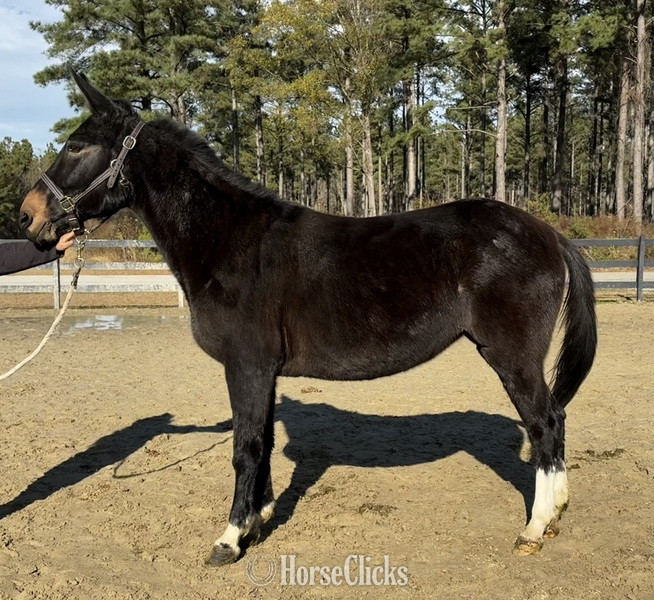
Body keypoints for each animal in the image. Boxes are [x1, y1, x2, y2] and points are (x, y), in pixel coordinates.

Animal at [19, 71, 597, 566]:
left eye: (75, 145)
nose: (28, 216)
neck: (231, 242)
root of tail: (548, 233)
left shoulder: (246, 366)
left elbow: (246, 447)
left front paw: (229, 538)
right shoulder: (263, 371)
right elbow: (264, 442)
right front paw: (258, 521)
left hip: (511, 356)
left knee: (546, 422)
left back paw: (534, 528)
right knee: (552, 424)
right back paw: (556, 515)